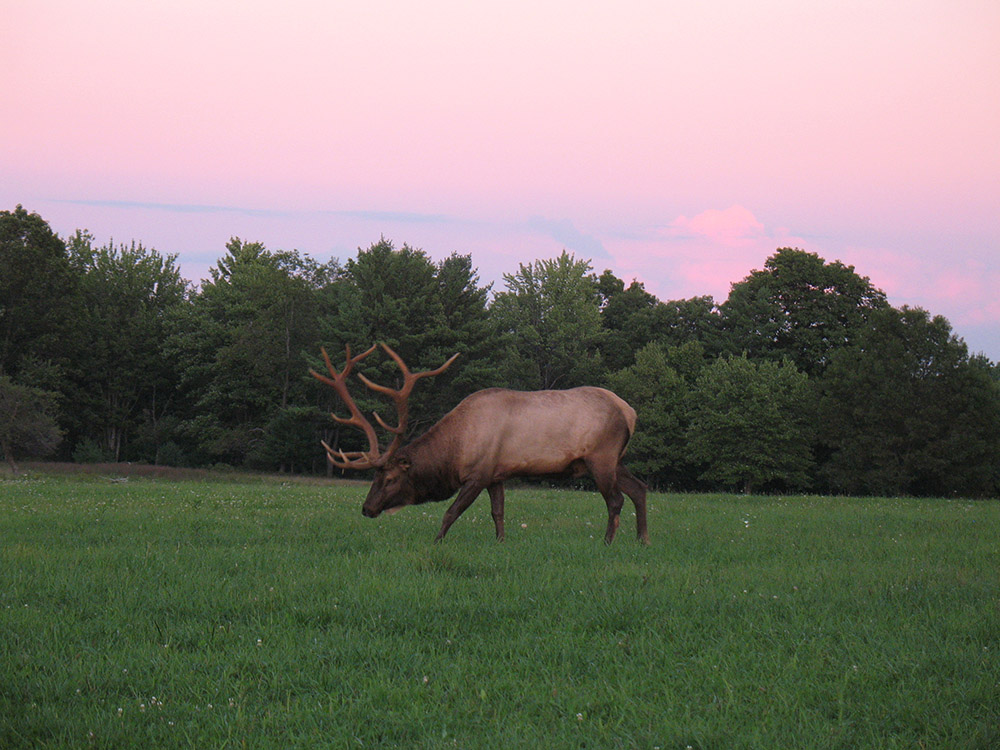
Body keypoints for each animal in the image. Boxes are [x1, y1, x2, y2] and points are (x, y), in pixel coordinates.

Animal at [310, 343, 649, 544]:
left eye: (391, 477)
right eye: (375, 477)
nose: (367, 508)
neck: (456, 448)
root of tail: (630, 412)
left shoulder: (478, 473)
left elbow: (450, 512)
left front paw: (436, 543)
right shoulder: (497, 475)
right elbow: (498, 513)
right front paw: (500, 543)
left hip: (601, 457)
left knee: (616, 499)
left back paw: (607, 543)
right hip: (616, 460)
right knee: (639, 488)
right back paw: (642, 540)